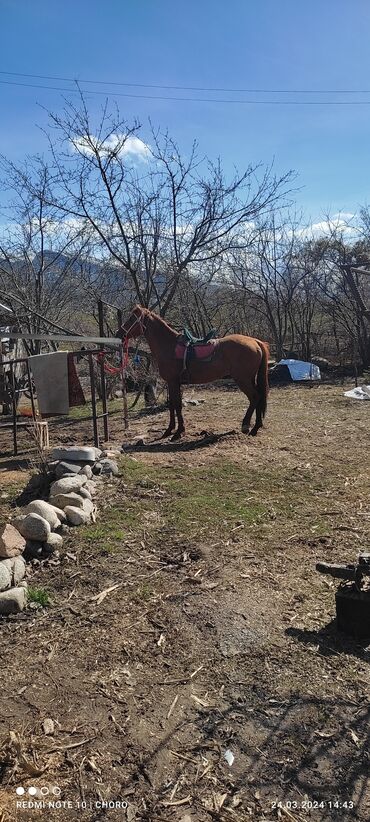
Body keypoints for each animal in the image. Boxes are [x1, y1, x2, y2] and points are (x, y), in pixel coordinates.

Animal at [118, 306, 268, 440]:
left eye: (132, 318)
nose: (119, 333)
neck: (169, 346)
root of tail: (255, 341)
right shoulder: (172, 383)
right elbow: (172, 405)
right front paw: (169, 430)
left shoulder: (173, 382)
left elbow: (177, 405)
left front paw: (178, 432)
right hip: (250, 378)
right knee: (259, 397)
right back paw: (256, 426)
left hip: (243, 379)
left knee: (254, 397)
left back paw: (247, 426)